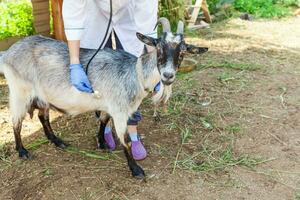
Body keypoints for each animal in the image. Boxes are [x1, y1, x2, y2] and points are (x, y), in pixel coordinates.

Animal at [0, 18, 207, 178]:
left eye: (183, 51)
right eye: (159, 47)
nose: (168, 76)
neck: (135, 74)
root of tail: (8, 52)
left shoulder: (109, 106)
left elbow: (103, 121)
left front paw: (102, 143)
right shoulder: (120, 111)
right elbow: (126, 140)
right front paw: (136, 170)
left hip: (42, 96)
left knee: (43, 116)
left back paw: (58, 141)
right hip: (19, 92)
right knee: (16, 122)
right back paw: (22, 151)